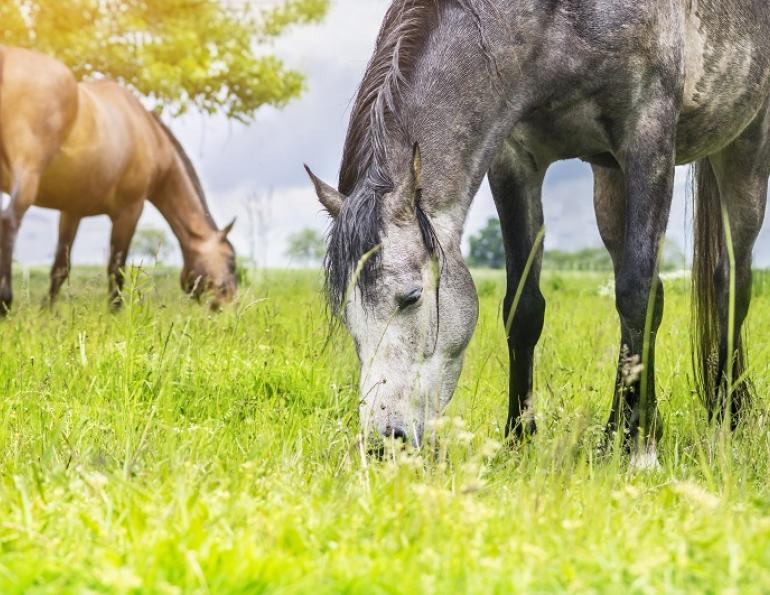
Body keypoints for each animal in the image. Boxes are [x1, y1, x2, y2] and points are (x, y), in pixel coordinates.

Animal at [0, 46, 237, 311]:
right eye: (231, 260)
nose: (230, 305)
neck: (149, 134)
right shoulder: (130, 211)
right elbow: (117, 268)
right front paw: (115, 311)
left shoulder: (72, 211)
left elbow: (60, 267)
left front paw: (47, 312)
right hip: (27, 172)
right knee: (9, 221)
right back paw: (5, 300)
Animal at [306, 0, 770, 462]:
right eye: (347, 315)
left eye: (412, 296)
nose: (384, 443)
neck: (556, 22)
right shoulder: (515, 159)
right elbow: (524, 306)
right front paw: (520, 438)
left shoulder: (648, 139)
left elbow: (637, 297)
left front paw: (637, 448)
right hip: (611, 181)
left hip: (745, 149)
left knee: (729, 284)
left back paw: (726, 417)